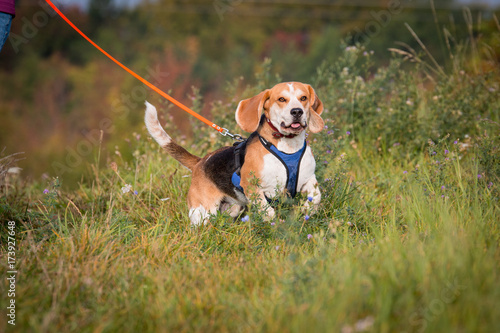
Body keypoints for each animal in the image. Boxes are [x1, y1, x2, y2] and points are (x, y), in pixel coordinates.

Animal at [145, 81, 324, 224]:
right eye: (281, 99)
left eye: (303, 98)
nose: (297, 111)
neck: (287, 148)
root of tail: (200, 162)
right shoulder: (253, 186)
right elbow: (268, 211)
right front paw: (276, 225)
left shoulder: (308, 178)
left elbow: (316, 196)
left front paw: (306, 211)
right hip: (203, 212)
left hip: (233, 208)